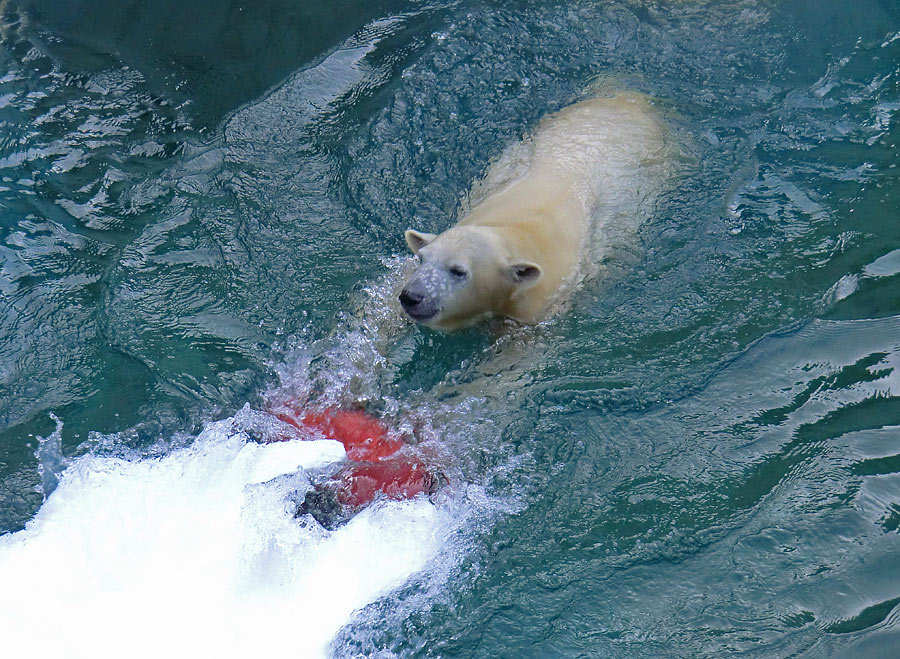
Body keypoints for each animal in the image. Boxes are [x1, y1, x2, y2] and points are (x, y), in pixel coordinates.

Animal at [400, 91, 668, 330]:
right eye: (422, 258)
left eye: (458, 271)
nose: (412, 297)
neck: (516, 233)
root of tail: (627, 97)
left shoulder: (538, 305)